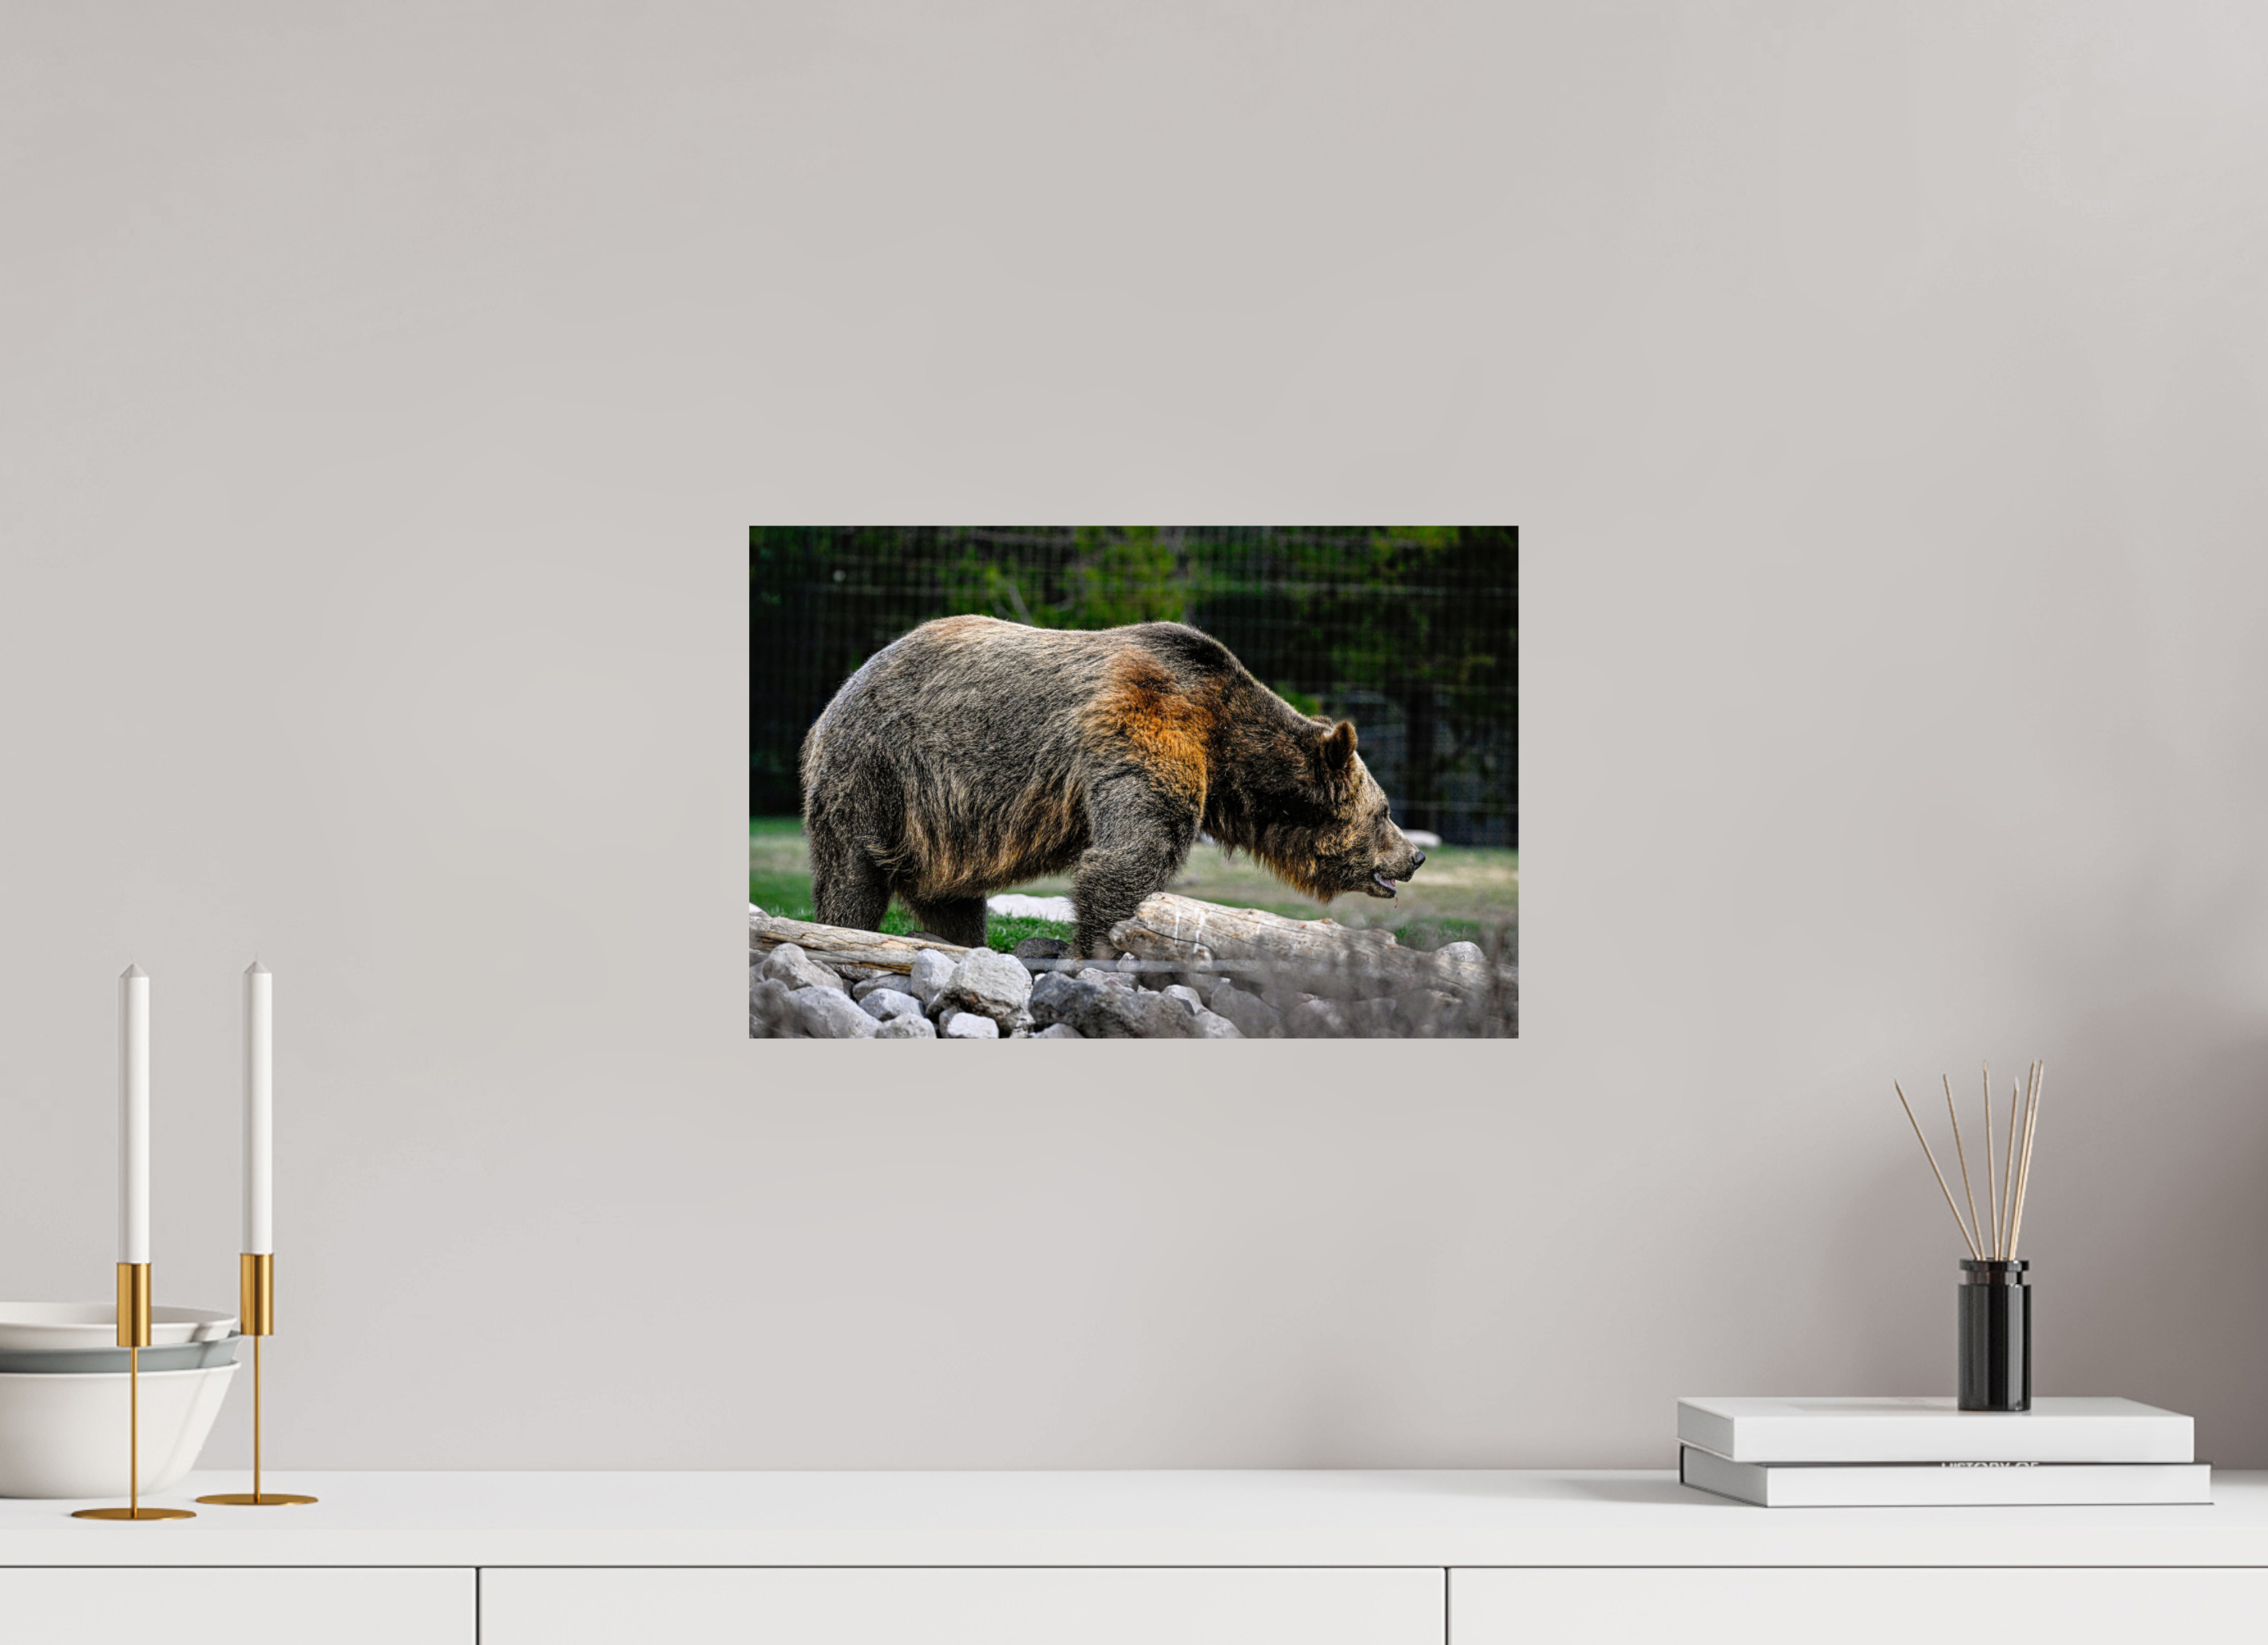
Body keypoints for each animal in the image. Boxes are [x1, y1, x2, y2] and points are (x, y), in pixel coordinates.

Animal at [800, 614, 1427, 959]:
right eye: (1384, 811)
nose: (1415, 856)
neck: (1224, 744)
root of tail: (844, 687)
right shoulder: (1147, 723)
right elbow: (1132, 854)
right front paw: (1102, 946)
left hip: (943, 819)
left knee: (952, 895)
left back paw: (962, 942)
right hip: (879, 768)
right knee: (852, 873)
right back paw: (843, 929)